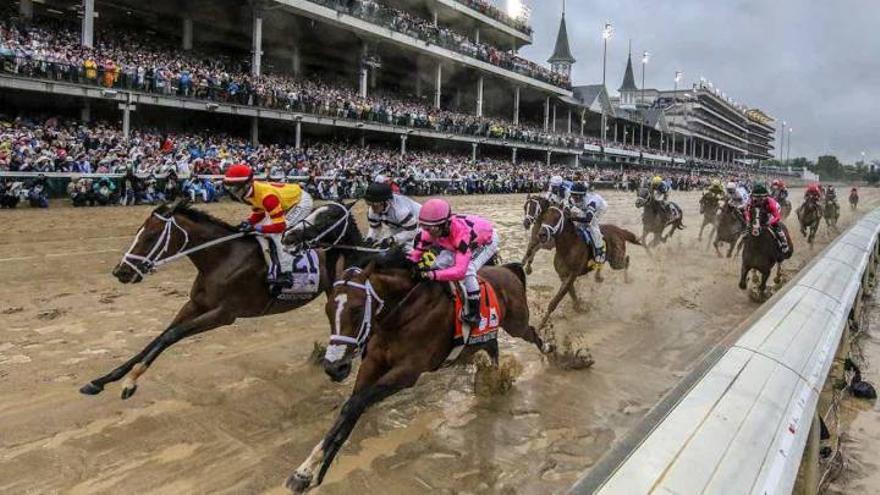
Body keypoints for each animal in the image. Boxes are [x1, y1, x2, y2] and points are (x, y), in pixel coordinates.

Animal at [79, 198, 360, 400]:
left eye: (149, 237)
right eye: (138, 232)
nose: (121, 272)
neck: (222, 259)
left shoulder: (224, 314)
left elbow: (172, 336)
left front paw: (131, 381)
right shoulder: (195, 305)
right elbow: (158, 338)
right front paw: (101, 381)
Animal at [288, 254, 552, 494]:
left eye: (356, 309)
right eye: (328, 309)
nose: (334, 367)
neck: (402, 315)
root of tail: (507, 269)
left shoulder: (409, 371)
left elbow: (356, 403)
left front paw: (315, 470)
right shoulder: (372, 363)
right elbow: (350, 408)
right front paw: (305, 472)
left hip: (516, 324)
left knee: (532, 333)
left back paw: (549, 354)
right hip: (485, 336)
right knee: (493, 347)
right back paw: (494, 378)